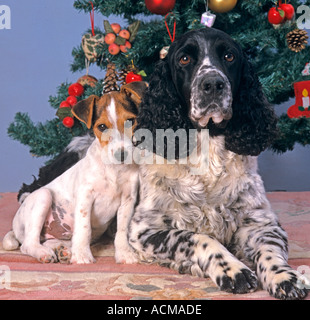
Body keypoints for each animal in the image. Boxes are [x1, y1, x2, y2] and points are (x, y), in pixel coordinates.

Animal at [2, 82, 148, 264]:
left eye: (129, 121)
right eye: (101, 127)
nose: (121, 155)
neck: (113, 170)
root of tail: (15, 227)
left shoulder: (127, 200)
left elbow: (121, 231)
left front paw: (124, 254)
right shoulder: (85, 197)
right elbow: (84, 229)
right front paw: (82, 256)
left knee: (49, 241)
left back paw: (63, 250)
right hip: (43, 196)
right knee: (28, 244)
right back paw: (46, 253)